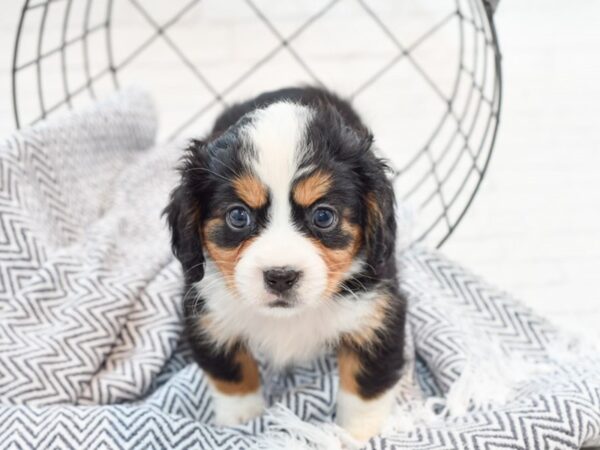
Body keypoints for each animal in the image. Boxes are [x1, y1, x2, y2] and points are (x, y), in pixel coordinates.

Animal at [166, 86, 406, 442]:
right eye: (238, 216)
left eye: (324, 216)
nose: (280, 276)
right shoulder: (207, 312)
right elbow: (232, 372)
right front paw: (241, 418)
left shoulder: (376, 313)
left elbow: (366, 385)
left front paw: (356, 433)